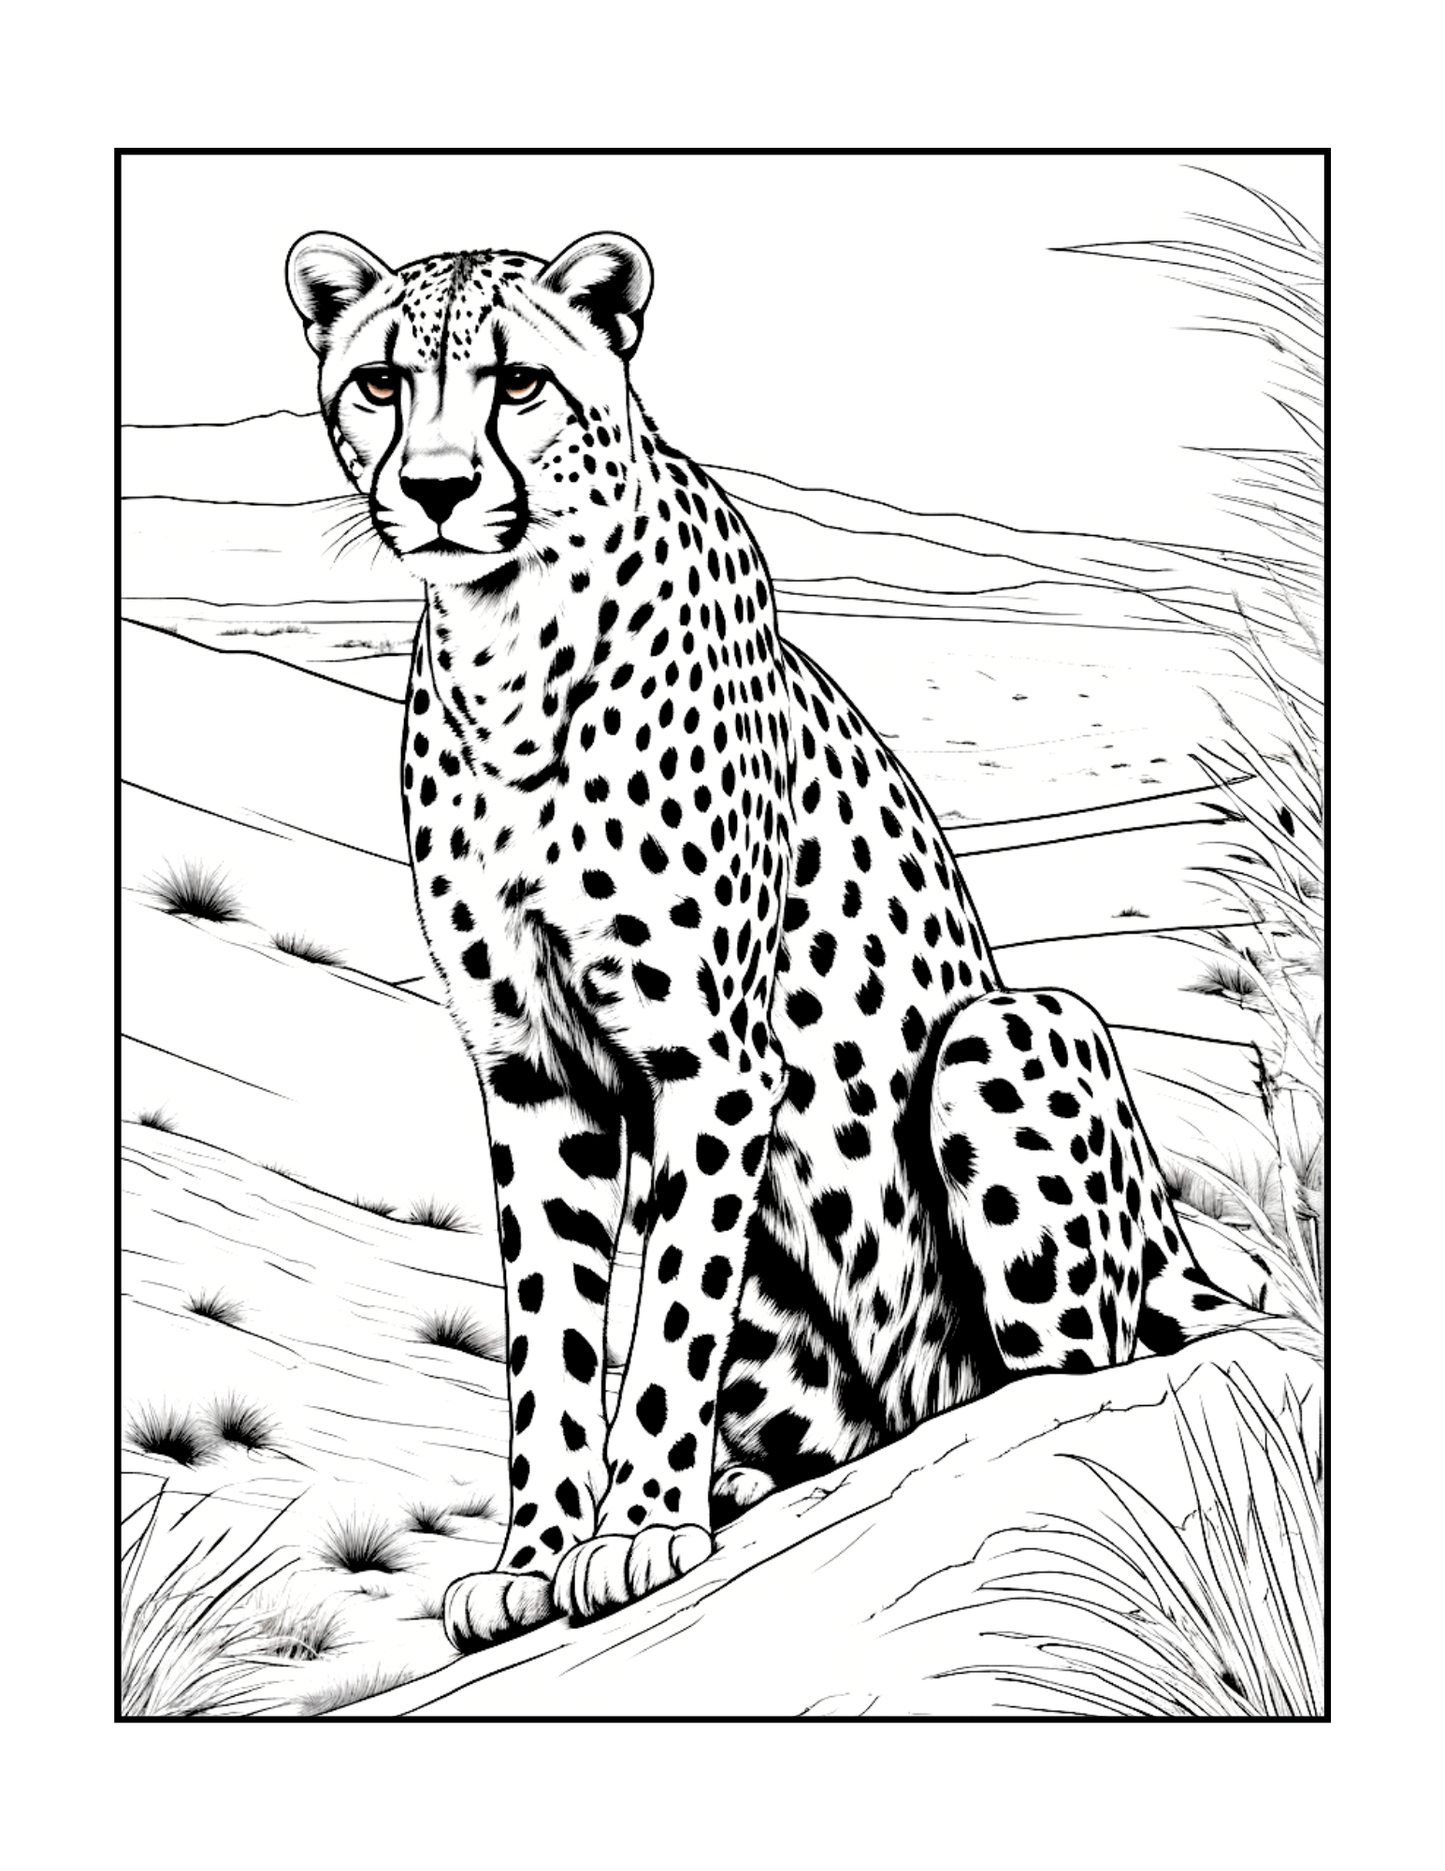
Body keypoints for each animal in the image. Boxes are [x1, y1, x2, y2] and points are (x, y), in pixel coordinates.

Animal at [286, 228, 1285, 1650]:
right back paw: (746, 1480)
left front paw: (638, 1531)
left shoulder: (709, 1060)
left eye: (518, 383)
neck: (506, 638)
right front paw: (536, 1554)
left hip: (1005, 1038)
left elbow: (665, 1323)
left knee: (1073, 1362)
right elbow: (553, 1335)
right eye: (378, 382)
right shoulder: (533, 1072)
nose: (433, 488)